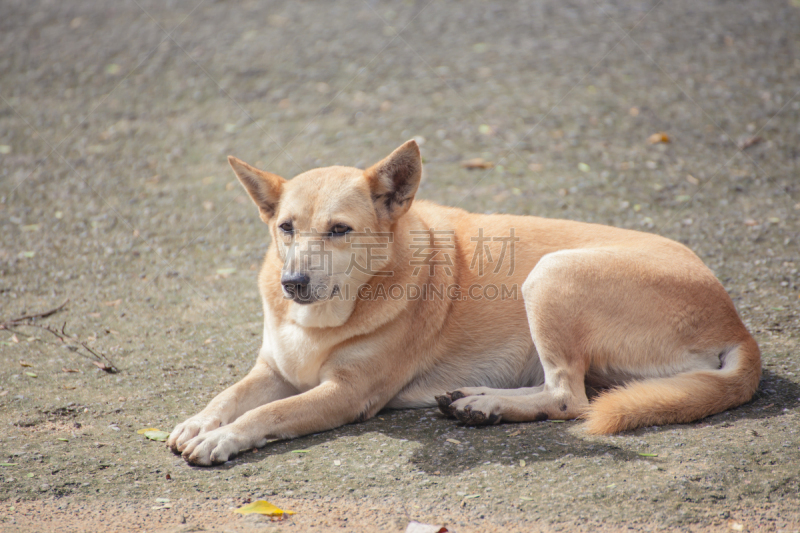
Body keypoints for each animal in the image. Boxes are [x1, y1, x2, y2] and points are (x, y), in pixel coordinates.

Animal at [166, 139, 760, 464]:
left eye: (339, 230)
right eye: (286, 228)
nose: (292, 282)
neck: (321, 319)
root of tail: (737, 323)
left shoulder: (347, 393)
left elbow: (269, 412)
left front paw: (224, 438)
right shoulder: (273, 368)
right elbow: (231, 395)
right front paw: (200, 423)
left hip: (551, 274)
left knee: (569, 397)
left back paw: (488, 405)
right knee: (561, 390)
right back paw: (477, 399)